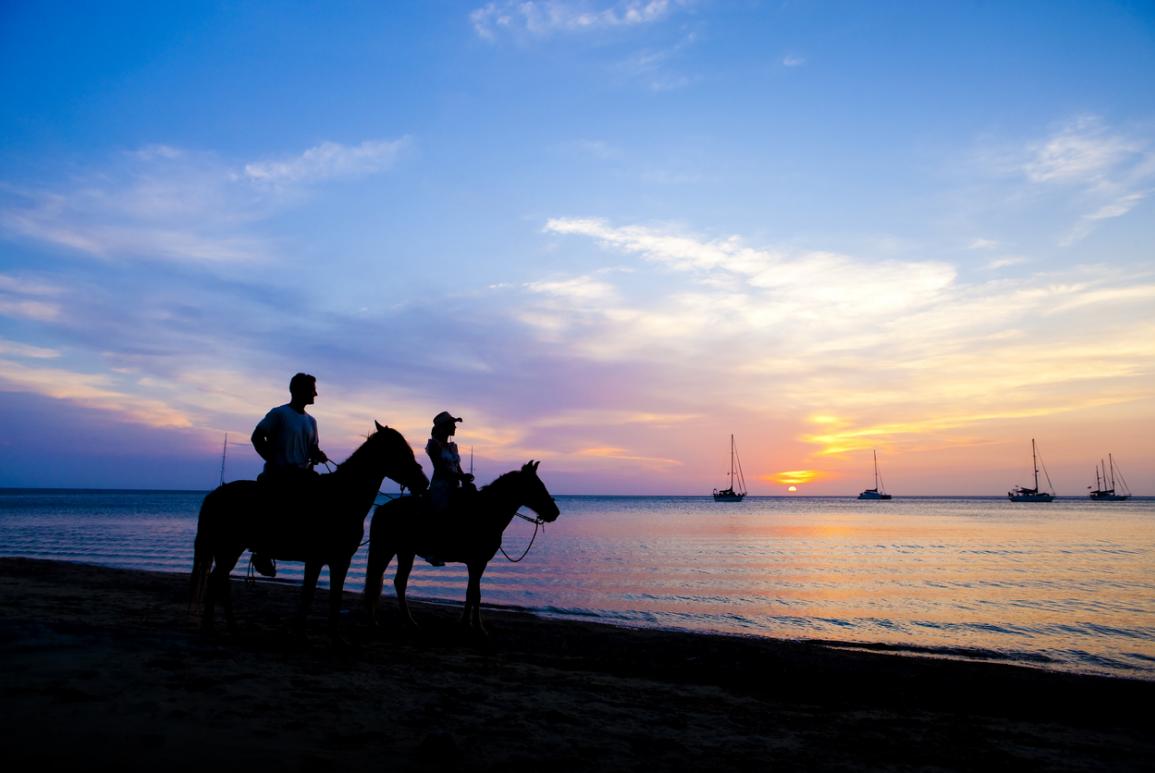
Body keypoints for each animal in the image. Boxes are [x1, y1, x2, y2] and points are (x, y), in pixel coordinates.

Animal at [194, 418, 429, 637]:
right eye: (400, 451)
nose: (423, 482)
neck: (343, 497)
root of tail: (215, 494)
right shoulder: (323, 559)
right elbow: (315, 594)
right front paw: (313, 632)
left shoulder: (335, 559)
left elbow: (327, 595)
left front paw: (322, 633)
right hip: (229, 548)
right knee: (216, 581)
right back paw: (212, 627)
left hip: (228, 550)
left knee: (219, 582)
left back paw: (228, 627)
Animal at [360, 457, 559, 633]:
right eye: (537, 486)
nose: (555, 513)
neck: (487, 512)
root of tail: (382, 508)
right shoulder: (478, 562)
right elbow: (474, 594)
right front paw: (476, 626)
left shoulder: (476, 563)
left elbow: (472, 593)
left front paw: (467, 623)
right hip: (386, 550)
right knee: (375, 580)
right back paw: (374, 621)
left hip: (405, 552)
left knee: (398, 583)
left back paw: (409, 622)